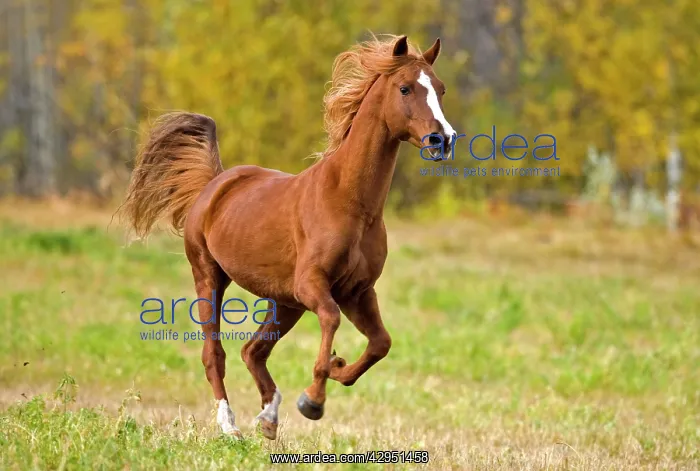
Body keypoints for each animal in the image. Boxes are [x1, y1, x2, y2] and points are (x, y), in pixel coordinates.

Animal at [119, 34, 456, 440]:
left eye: (440, 88)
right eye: (405, 88)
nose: (443, 139)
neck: (349, 202)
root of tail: (214, 184)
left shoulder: (357, 291)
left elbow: (380, 343)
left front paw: (336, 370)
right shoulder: (313, 285)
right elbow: (331, 319)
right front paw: (313, 399)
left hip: (284, 301)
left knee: (253, 351)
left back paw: (268, 418)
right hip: (210, 276)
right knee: (215, 354)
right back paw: (230, 427)